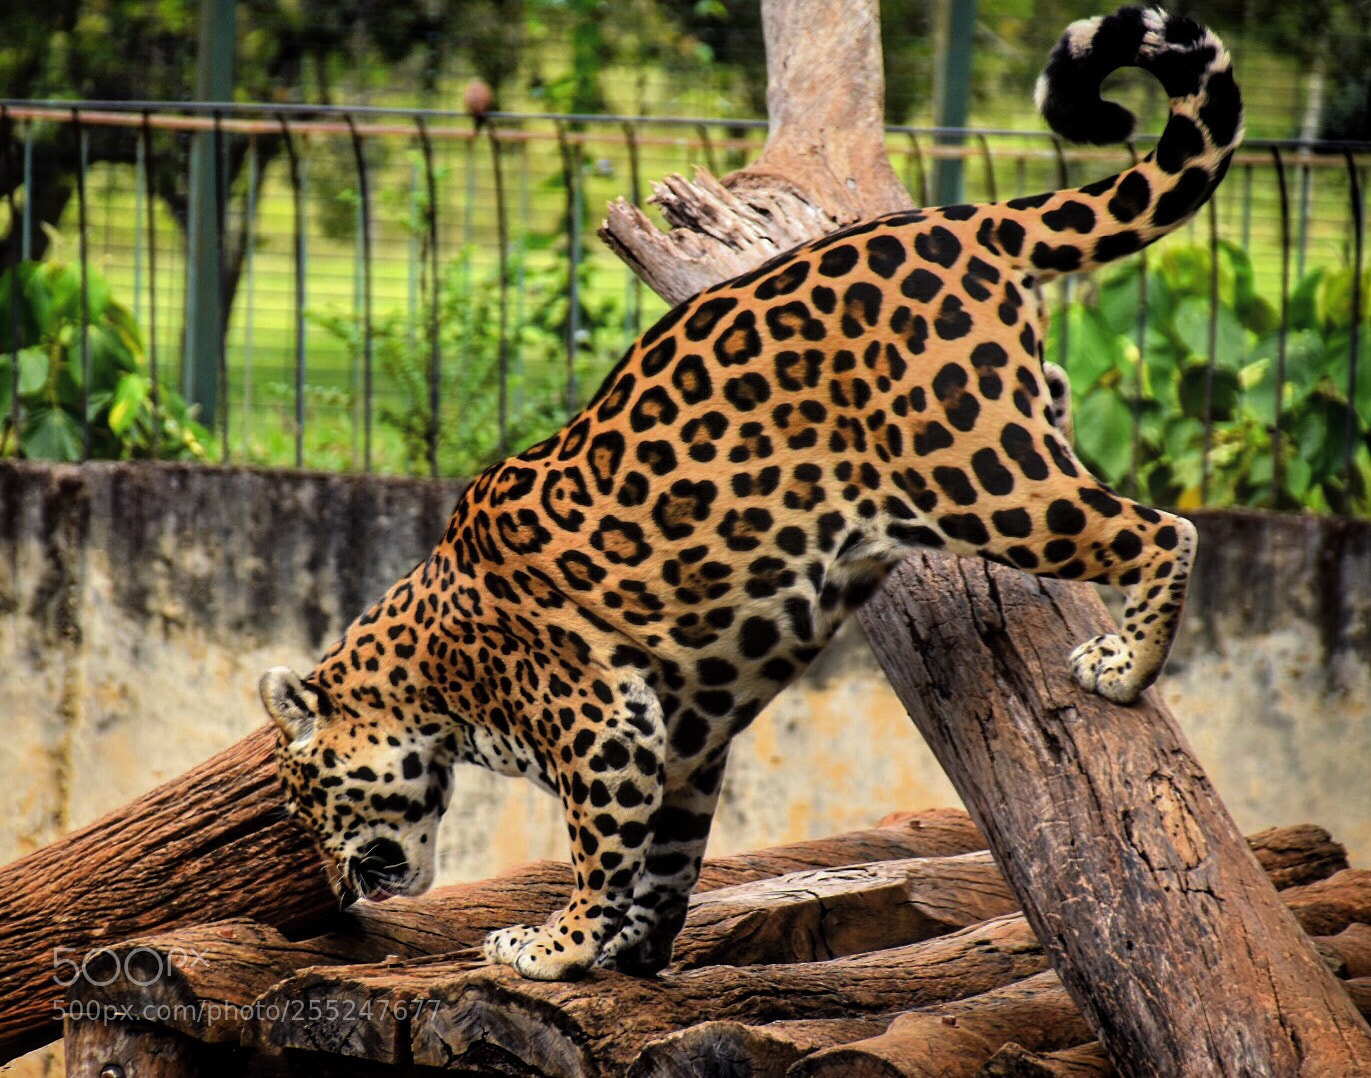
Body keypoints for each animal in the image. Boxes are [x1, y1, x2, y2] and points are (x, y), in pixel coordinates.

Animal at [261, 6, 1242, 981]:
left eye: (310, 804)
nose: (339, 887)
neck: (430, 682)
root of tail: (965, 221)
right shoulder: (682, 741)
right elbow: (665, 856)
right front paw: (633, 949)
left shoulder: (604, 725)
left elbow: (597, 854)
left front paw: (551, 945)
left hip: (975, 475)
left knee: (1164, 529)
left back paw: (1123, 662)